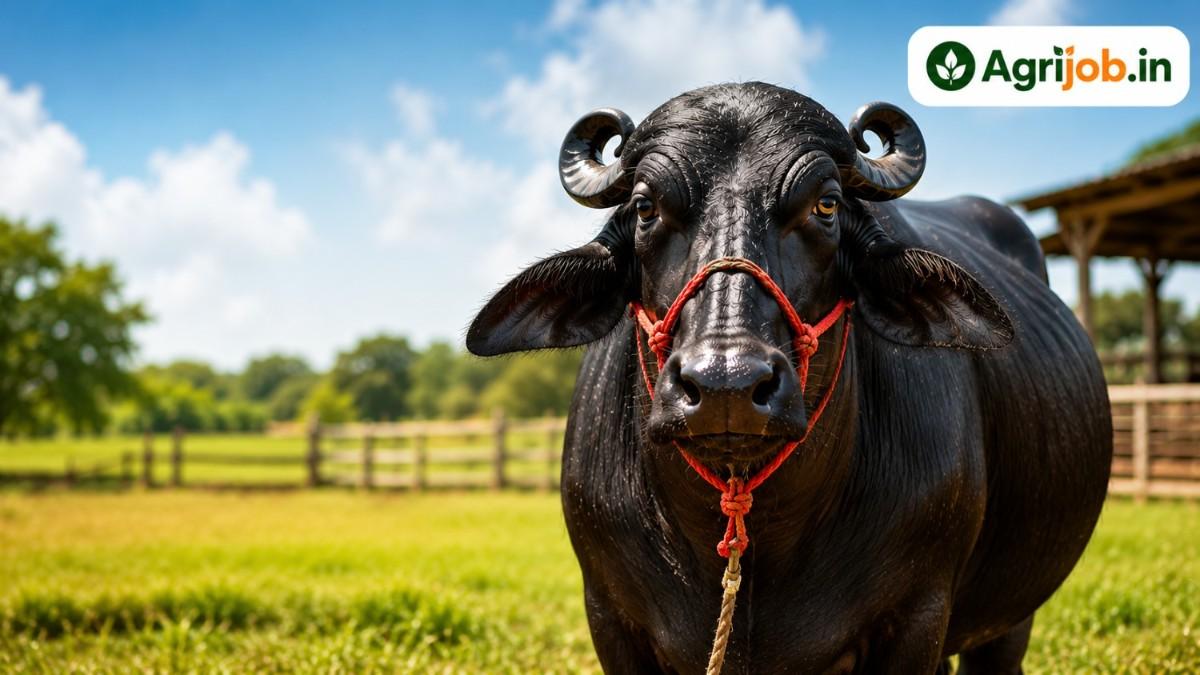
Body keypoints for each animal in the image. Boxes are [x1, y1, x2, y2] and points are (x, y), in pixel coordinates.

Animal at [468, 83, 1111, 674]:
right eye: (646, 208)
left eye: (825, 205)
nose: (725, 386)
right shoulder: (609, 616)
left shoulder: (919, 615)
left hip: (1008, 621)